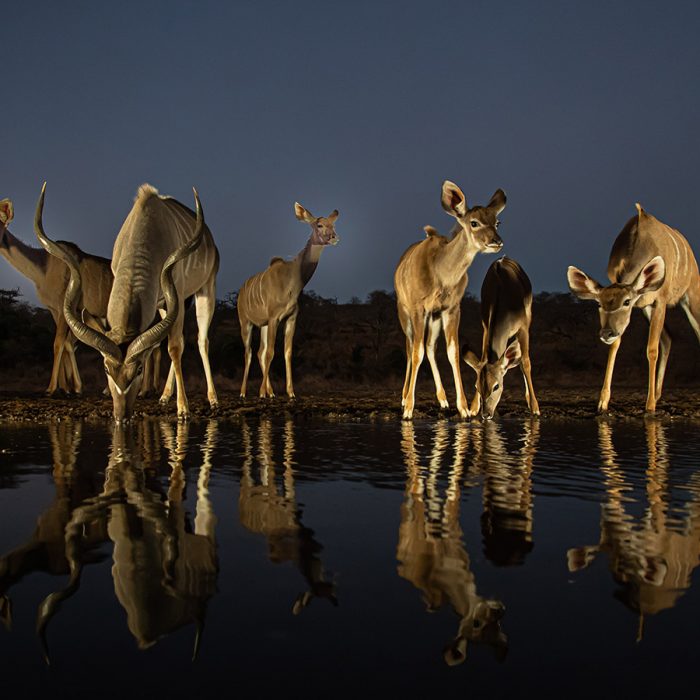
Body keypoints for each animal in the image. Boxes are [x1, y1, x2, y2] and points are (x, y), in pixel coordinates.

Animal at [34, 183, 219, 418]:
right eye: (106, 369)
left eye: (138, 369)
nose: (121, 415)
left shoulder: (176, 293)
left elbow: (175, 347)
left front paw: (183, 408)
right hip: (164, 308)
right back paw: (164, 396)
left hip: (206, 290)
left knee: (201, 341)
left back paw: (212, 399)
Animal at [392, 183, 506, 418]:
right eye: (474, 222)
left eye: (497, 221)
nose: (496, 242)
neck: (441, 273)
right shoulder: (418, 309)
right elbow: (416, 353)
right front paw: (408, 409)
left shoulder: (451, 309)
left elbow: (452, 352)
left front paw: (464, 409)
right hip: (404, 312)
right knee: (410, 346)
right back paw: (404, 397)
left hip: (434, 318)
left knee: (429, 346)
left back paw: (443, 400)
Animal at [464, 258, 540, 418]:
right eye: (477, 386)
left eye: (496, 386)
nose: (486, 414)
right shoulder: (486, 328)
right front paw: (473, 408)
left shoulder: (523, 328)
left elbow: (525, 363)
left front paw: (535, 408)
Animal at [568, 204, 700, 410]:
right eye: (599, 303)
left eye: (627, 301)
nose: (606, 333)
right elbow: (616, 345)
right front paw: (603, 402)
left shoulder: (660, 301)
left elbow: (651, 349)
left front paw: (650, 406)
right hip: (647, 308)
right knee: (667, 338)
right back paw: (658, 394)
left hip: (691, 296)